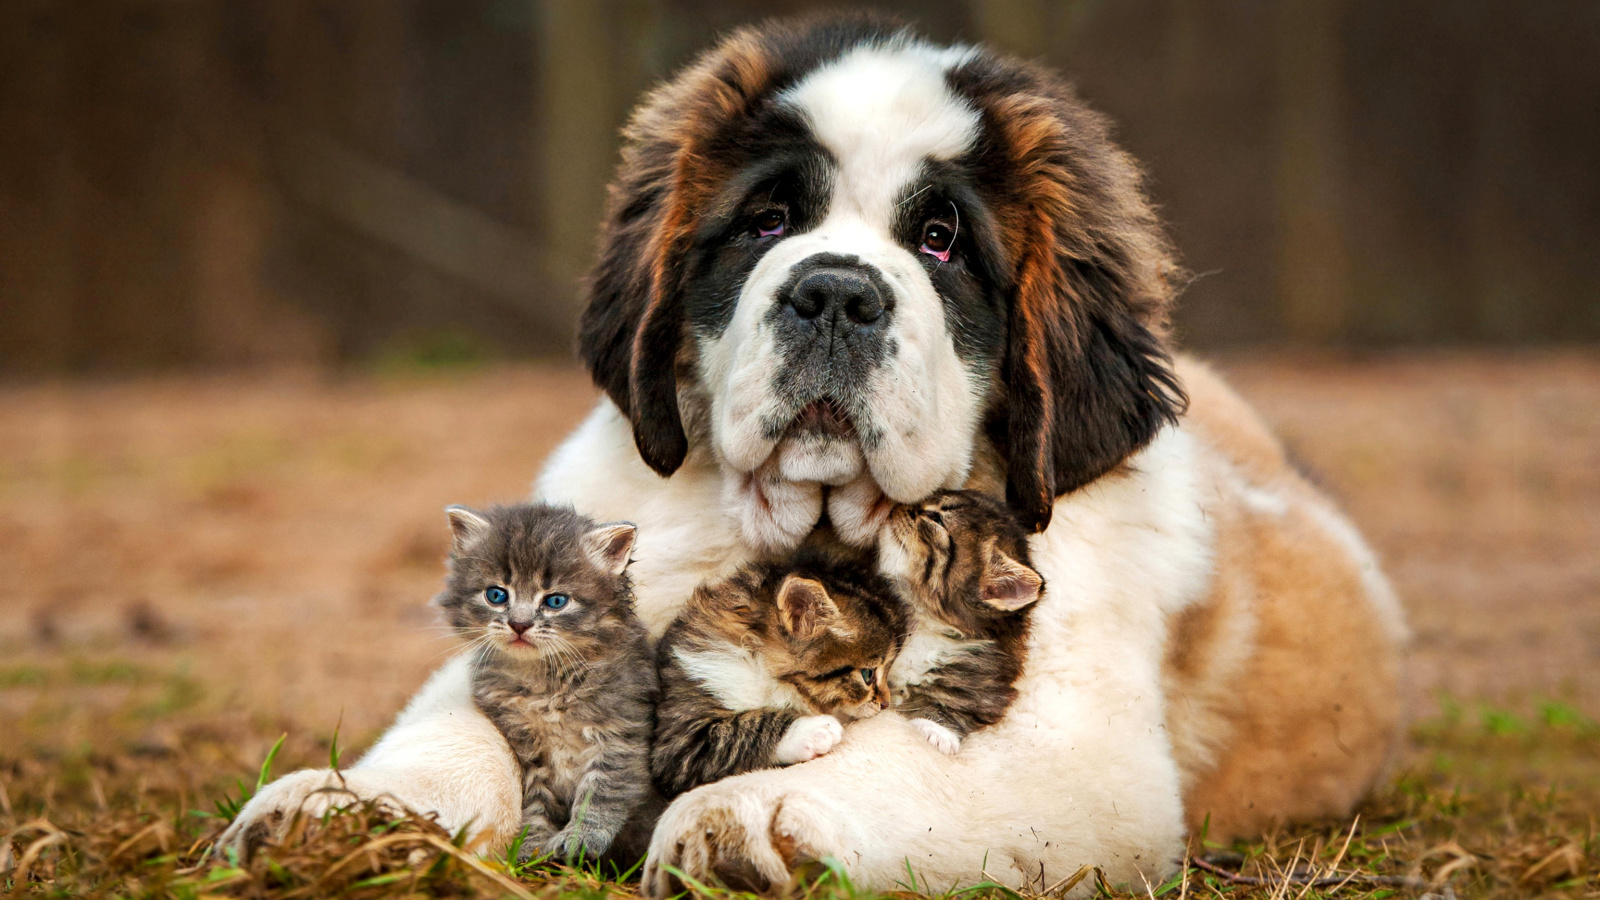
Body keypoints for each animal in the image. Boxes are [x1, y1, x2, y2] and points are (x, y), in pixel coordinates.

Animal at [435, 499, 652, 858]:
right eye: (496, 595)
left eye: (555, 601)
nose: (519, 624)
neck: (543, 683)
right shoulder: (528, 750)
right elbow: (536, 802)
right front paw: (530, 847)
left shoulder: (620, 734)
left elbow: (601, 792)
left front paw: (581, 838)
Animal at [646, 544, 902, 794]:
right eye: (868, 674)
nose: (886, 703)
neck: (760, 668)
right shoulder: (681, 741)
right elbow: (744, 728)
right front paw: (811, 730)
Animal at [876, 486, 1049, 752]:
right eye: (933, 496)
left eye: (936, 519)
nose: (898, 505)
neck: (924, 621)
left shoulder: (985, 685)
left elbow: (955, 705)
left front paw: (936, 731)